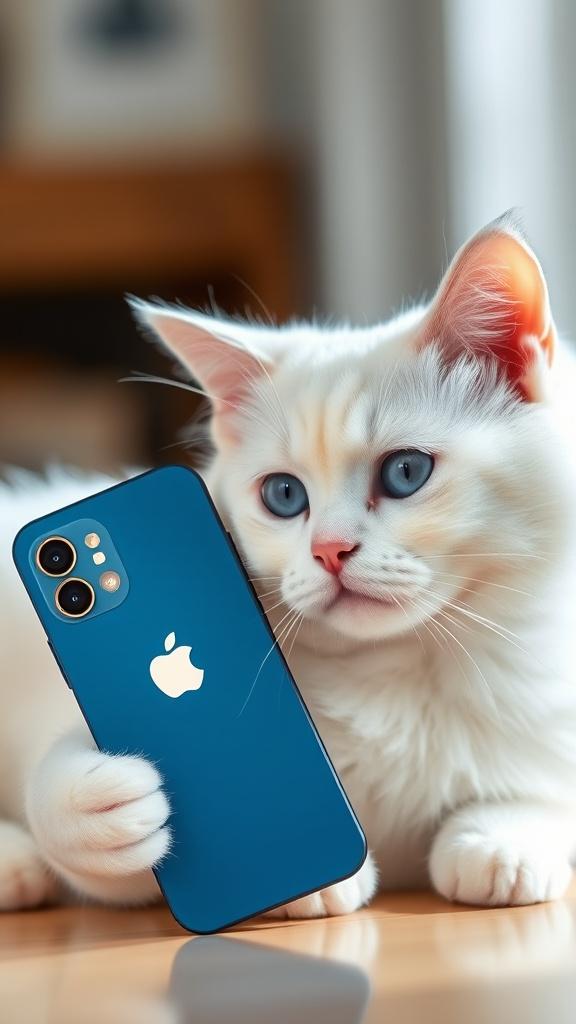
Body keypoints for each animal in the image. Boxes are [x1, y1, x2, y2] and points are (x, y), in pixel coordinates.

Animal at [1, 214, 573, 913]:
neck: (401, 671)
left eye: (407, 473)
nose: (330, 550)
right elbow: (84, 826)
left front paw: (502, 838)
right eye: (283, 496)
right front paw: (105, 802)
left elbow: (545, 793)